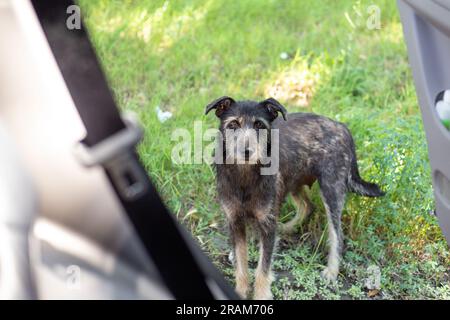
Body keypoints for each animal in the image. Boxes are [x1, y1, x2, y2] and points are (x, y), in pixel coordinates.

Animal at [206, 95, 384, 300]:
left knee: (337, 234)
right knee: (307, 206)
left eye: (259, 125)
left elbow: (263, 268)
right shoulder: (235, 222)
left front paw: (261, 295)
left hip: (331, 189)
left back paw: (332, 271)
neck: (244, 176)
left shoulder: (267, 226)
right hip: (293, 182)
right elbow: (241, 265)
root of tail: (341, 126)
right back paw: (286, 228)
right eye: (233, 124)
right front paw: (241, 292)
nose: (246, 151)